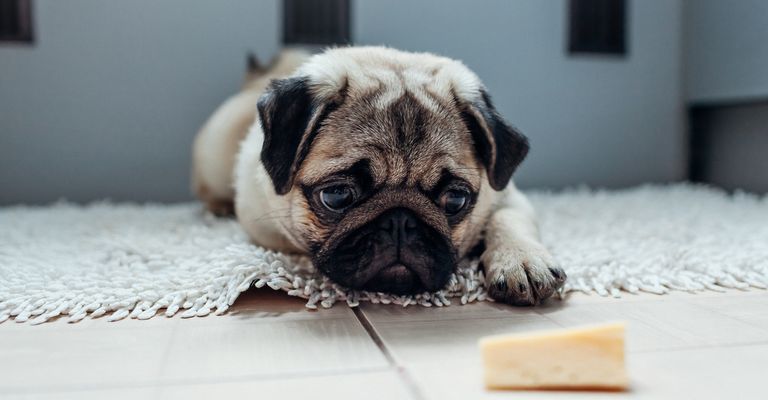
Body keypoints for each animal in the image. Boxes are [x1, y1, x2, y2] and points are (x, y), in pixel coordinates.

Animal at [192, 46, 564, 304]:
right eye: (337, 196)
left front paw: (522, 261)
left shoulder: (507, 194)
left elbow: (508, 220)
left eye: (456, 200)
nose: (400, 222)